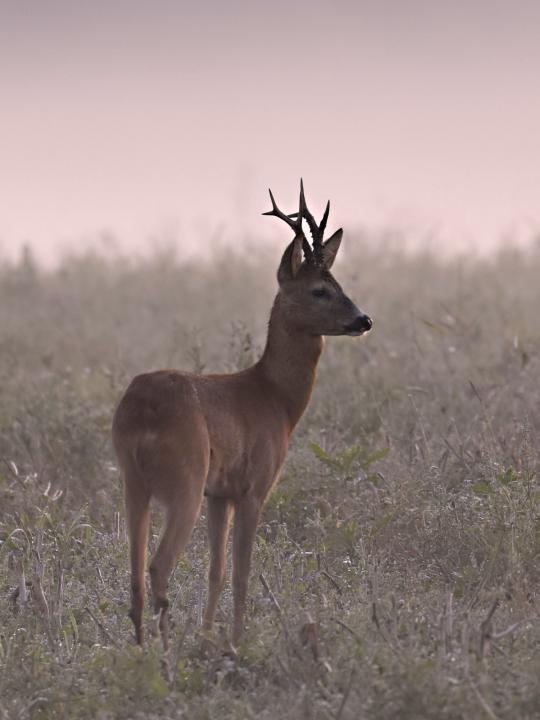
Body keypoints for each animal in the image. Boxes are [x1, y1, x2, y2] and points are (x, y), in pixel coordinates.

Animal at [112, 181, 374, 652]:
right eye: (319, 290)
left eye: (338, 281)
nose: (363, 319)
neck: (273, 397)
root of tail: (141, 412)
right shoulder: (254, 488)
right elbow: (241, 572)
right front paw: (235, 642)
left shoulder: (220, 494)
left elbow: (215, 571)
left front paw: (209, 637)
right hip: (185, 480)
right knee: (158, 566)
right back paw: (166, 651)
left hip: (134, 482)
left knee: (135, 572)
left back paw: (142, 650)